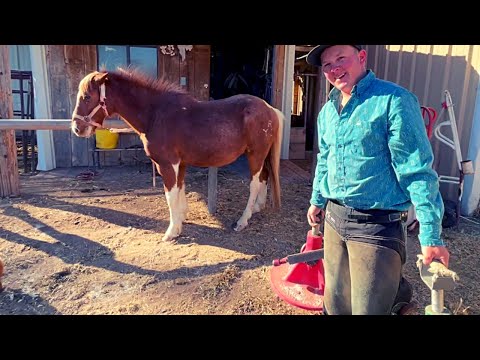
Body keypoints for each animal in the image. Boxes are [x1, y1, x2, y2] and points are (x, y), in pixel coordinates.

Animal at [69, 68, 284, 242]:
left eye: (87, 97)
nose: (77, 128)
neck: (155, 115)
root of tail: (270, 109)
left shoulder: (167, 164)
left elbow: (170, 195)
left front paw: (172, 232)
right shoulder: (179, 164)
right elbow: (180, 190)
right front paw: (181, 220)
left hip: (255, 154)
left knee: (254, 184)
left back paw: (242, 220)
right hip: (261, 155)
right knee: (264, 178)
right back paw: (257, 207)